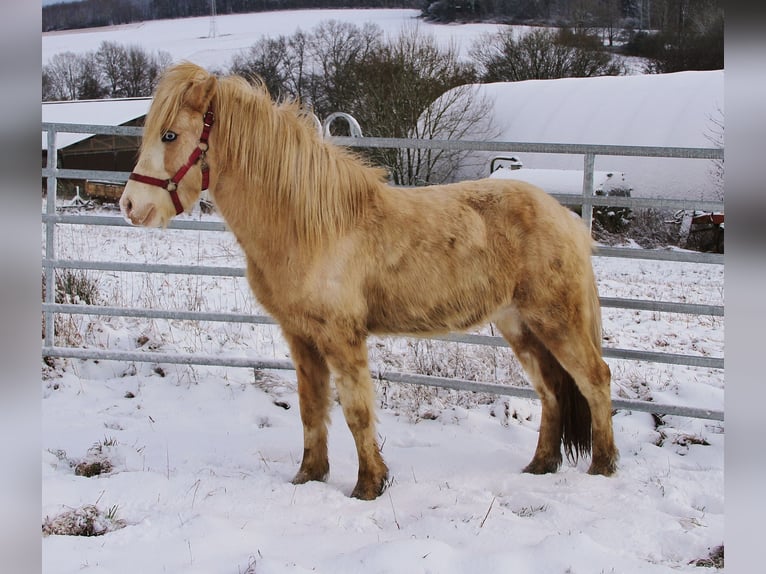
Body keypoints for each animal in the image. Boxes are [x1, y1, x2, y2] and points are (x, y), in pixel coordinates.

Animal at [120, 62, 618, 500]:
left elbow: (357, 412)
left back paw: (603, 466)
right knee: (552, 390)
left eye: (169, 135)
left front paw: (368, 486)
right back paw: (541, 465)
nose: (130, 205)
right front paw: (308, 476)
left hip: (557, 321)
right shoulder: (300, 336)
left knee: (595, 378)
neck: (309, 226)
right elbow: (311, 408)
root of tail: (569, 220)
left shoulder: (342, 337)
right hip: (520, 325)